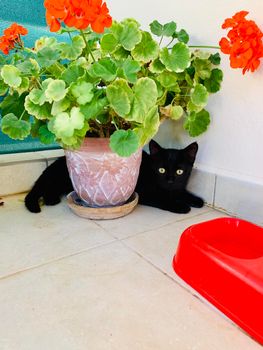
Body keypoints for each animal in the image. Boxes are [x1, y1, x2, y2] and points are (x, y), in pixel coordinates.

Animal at [24, 139, 205, 213]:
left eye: (179, 172)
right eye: (161, 170)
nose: (170, 180)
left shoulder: (177, 187)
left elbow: (181, 192)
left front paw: (196, 200)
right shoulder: (146, 193)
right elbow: (163, 199)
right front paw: (180, 206)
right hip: (62, 179)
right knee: (45, 189)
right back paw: (51, 200)